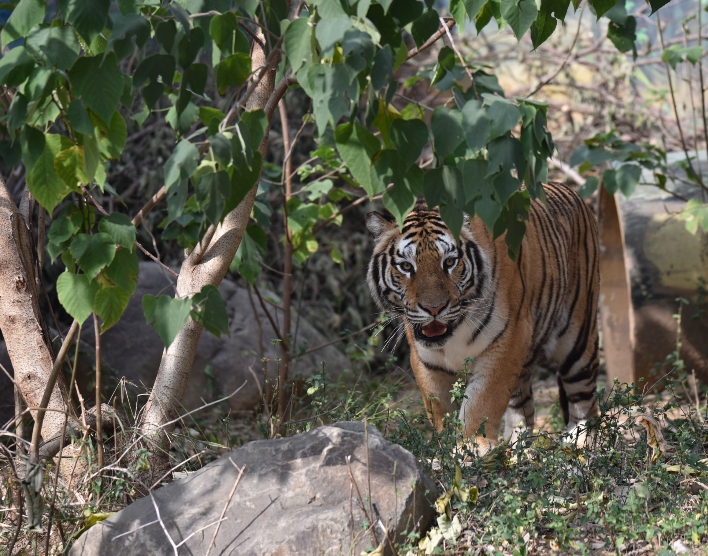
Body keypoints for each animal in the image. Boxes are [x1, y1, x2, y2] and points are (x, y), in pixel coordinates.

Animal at [368, 182, 600, 456]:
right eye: (406, 266)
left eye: (449, 262)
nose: (434, 308)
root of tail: (570, 191)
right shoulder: (427, 360)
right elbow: (440, 409)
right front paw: (449, 446)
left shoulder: (508, 340)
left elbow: (483, 400)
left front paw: (473, 445)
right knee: (523, 409)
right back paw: (517, 451)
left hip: (577, 342)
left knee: (585, 404)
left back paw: (578, 447)